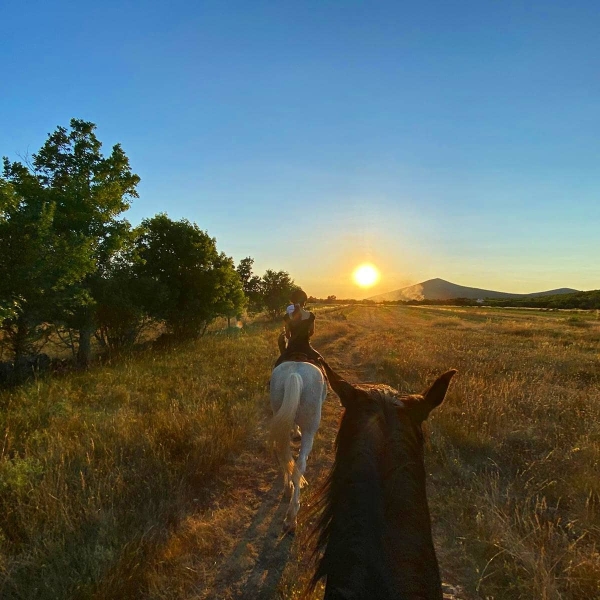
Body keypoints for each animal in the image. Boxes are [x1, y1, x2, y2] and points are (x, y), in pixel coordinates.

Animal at [270, 358, 328, 532]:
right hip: (310, 429)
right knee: (300, 465)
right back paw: (291, 517)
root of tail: (294, 374)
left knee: (284, 456)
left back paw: (288, 490)